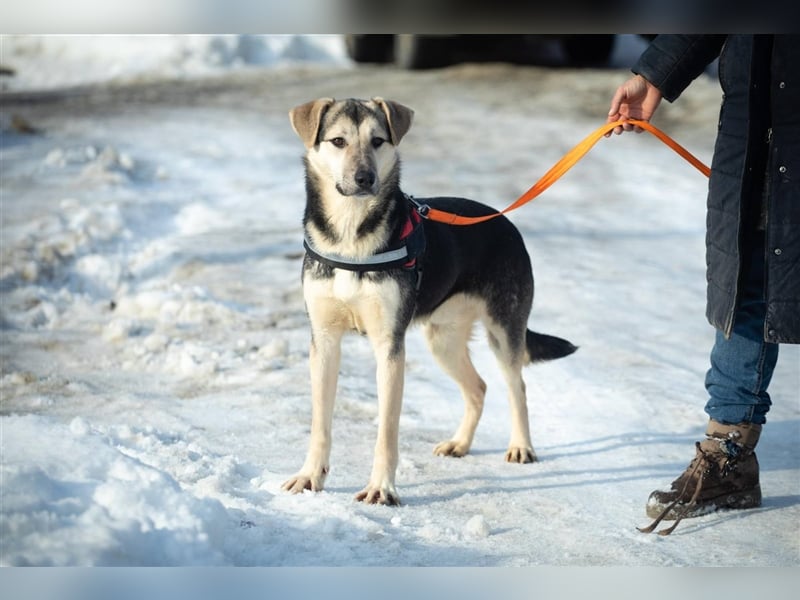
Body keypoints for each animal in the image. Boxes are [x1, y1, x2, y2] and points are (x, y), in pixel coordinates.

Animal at [282, 98, 576, 506]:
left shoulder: (390, 345)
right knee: (478, 388)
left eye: (377, 141)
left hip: (503, 331)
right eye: (338, 141)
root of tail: (504, 221)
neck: (351, 236)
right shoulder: (324, 341)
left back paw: (521, 447)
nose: (364, 178)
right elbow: (319, 424)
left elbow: (387, 432)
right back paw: (460, 444)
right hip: (443, 341)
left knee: (517, 387)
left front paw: (381, 488)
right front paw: (310, 477)